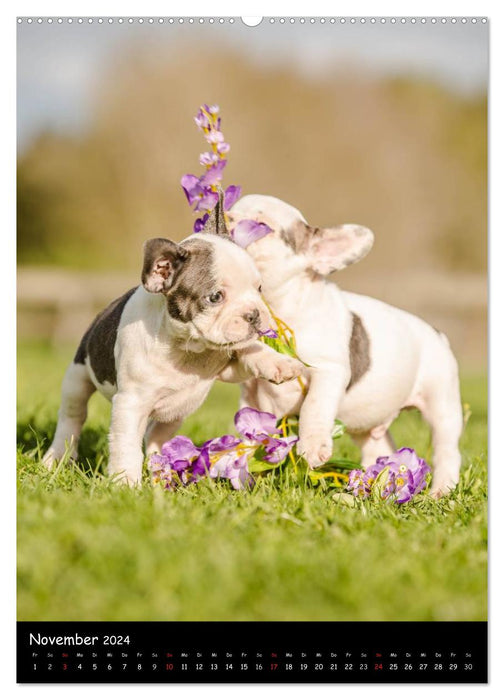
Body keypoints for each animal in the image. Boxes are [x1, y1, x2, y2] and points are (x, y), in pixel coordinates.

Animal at [42, 232, 304, 484]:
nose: (254, 313)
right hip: (78, 377)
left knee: (155, 437)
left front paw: (279, 363)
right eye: (215, 297)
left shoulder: (227, 363)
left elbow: (249, 349)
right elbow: (126, 446)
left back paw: (162, 471)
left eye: (258, 288)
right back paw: (57, 458)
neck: (188, 347)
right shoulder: (131, 403)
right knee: (73, 416)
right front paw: (126, 482)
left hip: (175, 414)